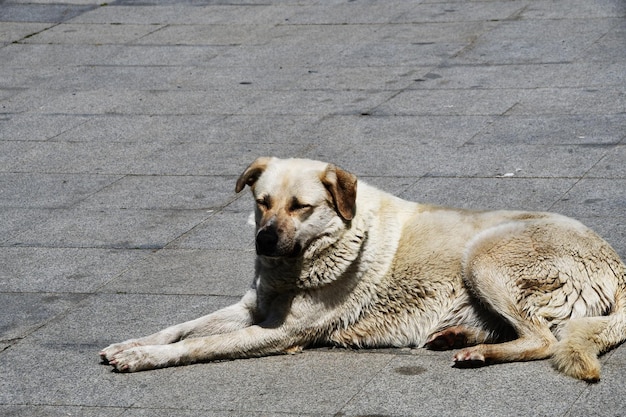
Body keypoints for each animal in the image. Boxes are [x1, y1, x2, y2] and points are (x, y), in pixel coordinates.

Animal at [101, 156, 624, 380]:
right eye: (262, 202)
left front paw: (144, 359)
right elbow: (179, 327)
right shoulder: (253, 306)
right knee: (528, 330)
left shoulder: (278, 332)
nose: (264, 241)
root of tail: (617, 263)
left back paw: (478, 351)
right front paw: (133, 344)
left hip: (482, 254)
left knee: (543, 338)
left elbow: (197, 345)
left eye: (301, 207)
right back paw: (458, 337)